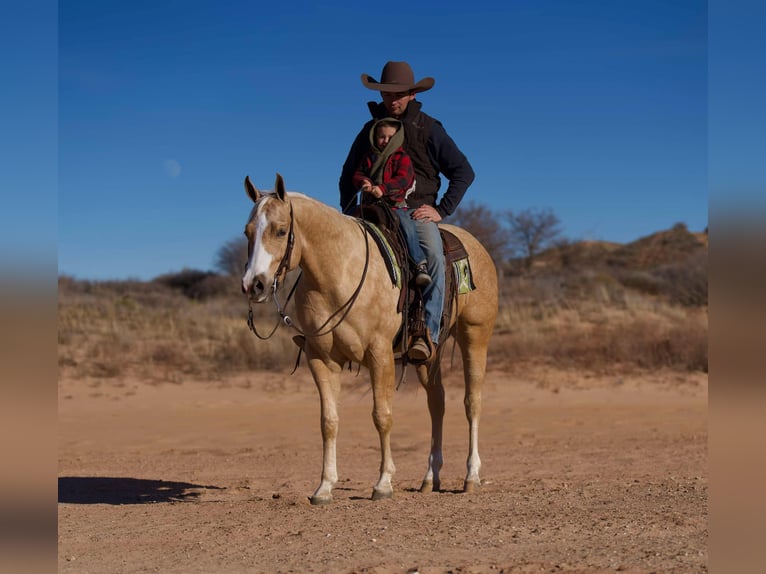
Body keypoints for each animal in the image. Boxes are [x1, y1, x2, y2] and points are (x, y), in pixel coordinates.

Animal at [241, 173, 498, 505]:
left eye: (281, 230)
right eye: (247, 232)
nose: (254, 285)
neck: (338, 272)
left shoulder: (380, 354)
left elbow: (382, 415)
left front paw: (384, 483)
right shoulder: (320, 358)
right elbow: (328, 421)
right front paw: (324, 487)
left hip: (475, 335)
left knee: (472, 402)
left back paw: (471, 476)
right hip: (430, 351)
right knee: (437, 403)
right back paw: (430, 478)